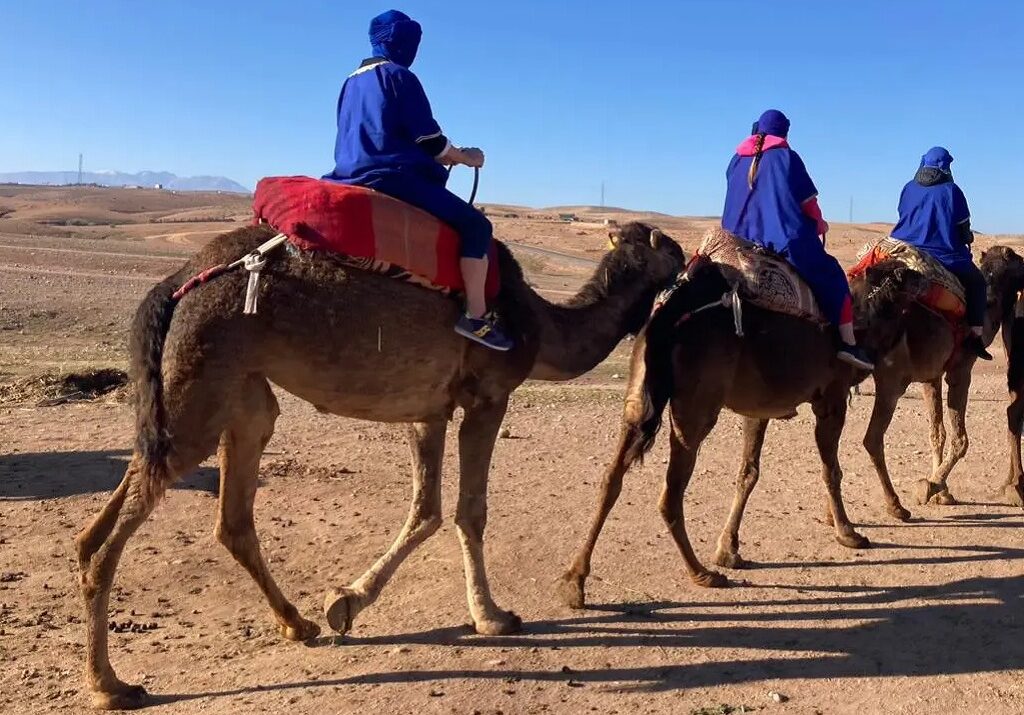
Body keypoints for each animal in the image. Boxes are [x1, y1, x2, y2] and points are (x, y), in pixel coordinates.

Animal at [75, 218, 684, 708]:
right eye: (671, 248)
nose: (693, 260)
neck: (538, 323)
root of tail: (176, 282)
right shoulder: (488, 395)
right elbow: (469, 512)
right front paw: (493, 618)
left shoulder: (429, 409)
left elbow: (426, 511)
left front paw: (345, 603)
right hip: (202, 379)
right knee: (115, 536)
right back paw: (111, 685)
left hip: (235, 393)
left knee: (209, 515)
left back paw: (297, 624)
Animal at [561, 253, 929, 602]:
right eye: (907, 275)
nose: (923, 277)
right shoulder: (831, 399)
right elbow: (831, 470)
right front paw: (848, 532)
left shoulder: (758, 409)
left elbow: (748, 473)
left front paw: (728, 550)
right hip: (696, 410)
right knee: (670, 492)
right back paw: (701, 573)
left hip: (638, 401)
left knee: (611, 478)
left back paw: (574, 581)